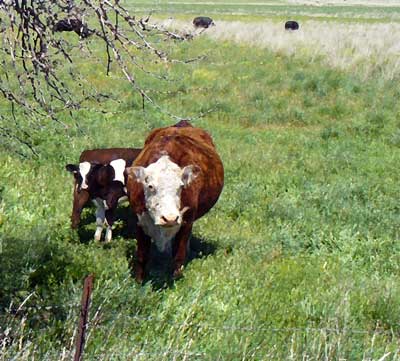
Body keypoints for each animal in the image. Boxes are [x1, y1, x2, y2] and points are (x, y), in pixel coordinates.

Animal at [126, 121, 223, 282]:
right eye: (150, 186)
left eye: (181, 186)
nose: (170, 218)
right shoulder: (140, 220)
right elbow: (142, 255)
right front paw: (138, 281)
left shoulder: (186, 221)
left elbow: (178, 256)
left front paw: (175, 280)